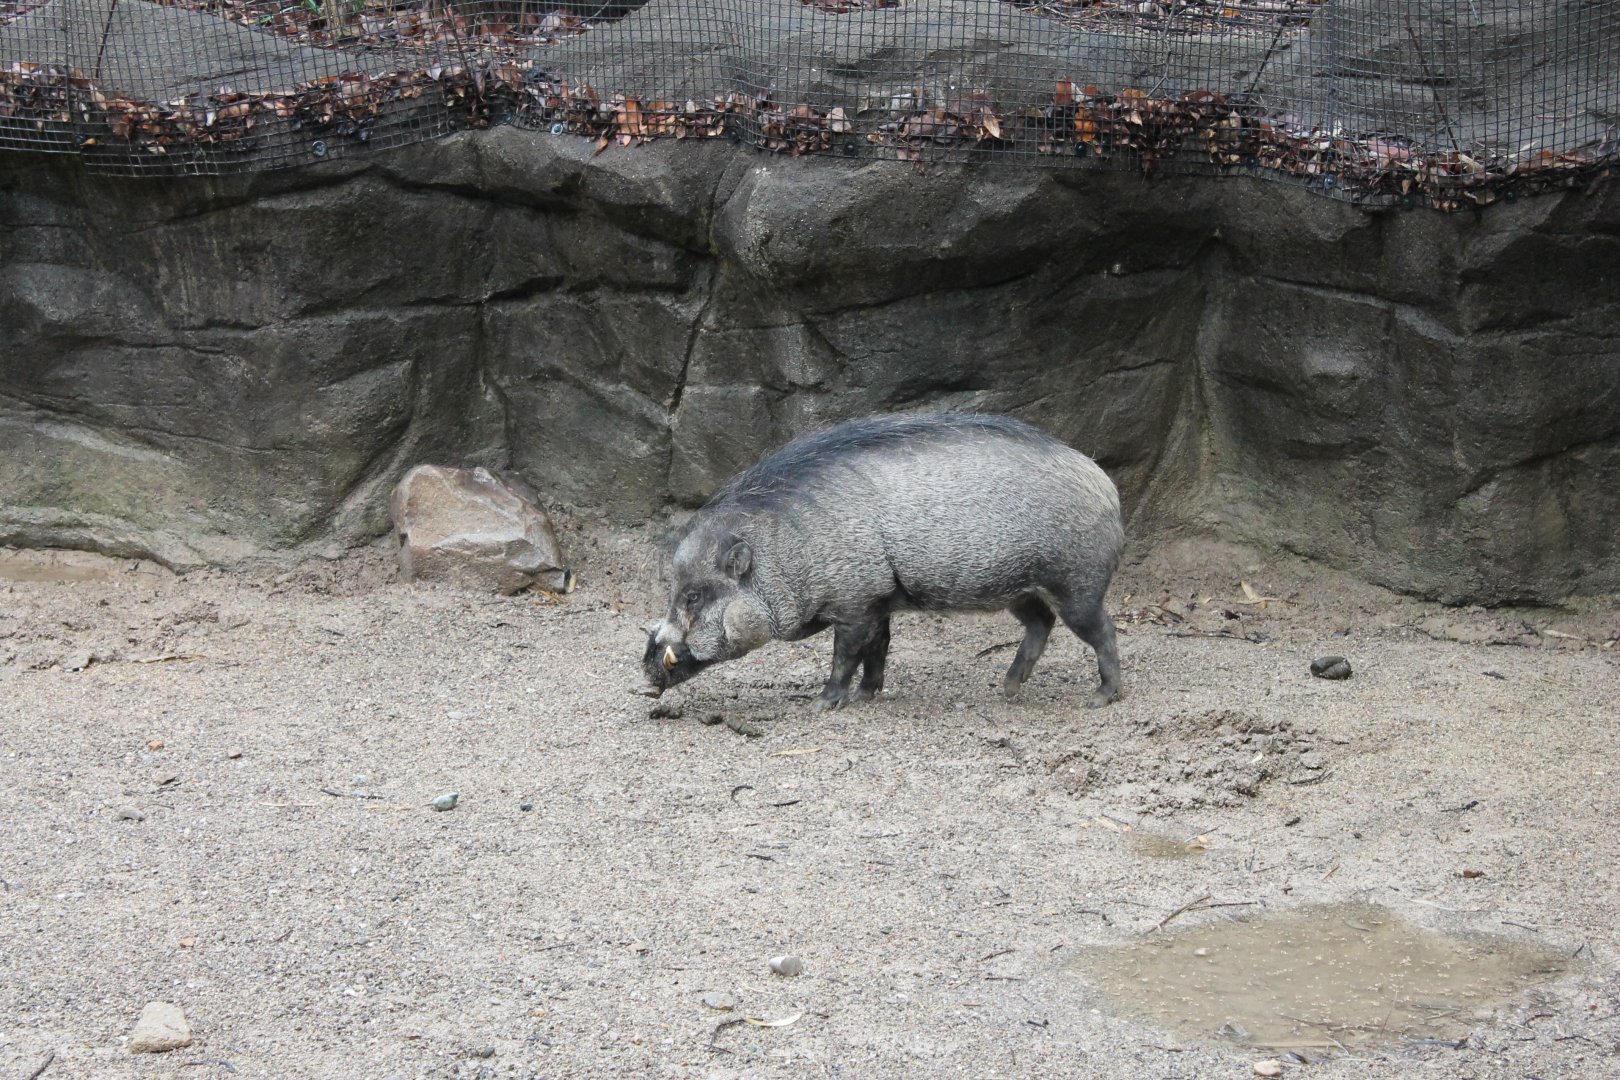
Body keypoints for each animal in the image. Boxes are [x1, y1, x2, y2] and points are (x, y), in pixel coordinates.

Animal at [642, 413, 1123, 710]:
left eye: (694, 596)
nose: (645, 675)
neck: (789, 550)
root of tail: (1105, 486)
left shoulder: (855, 603)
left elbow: (846, 655)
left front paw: (823, 703)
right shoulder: (878, 601)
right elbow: (879, 649)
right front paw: (865, 697)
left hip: (1075, 585)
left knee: (1103, 630)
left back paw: (1102, 697)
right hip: (1020, 590)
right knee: (1041, 623)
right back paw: (1007, 689)